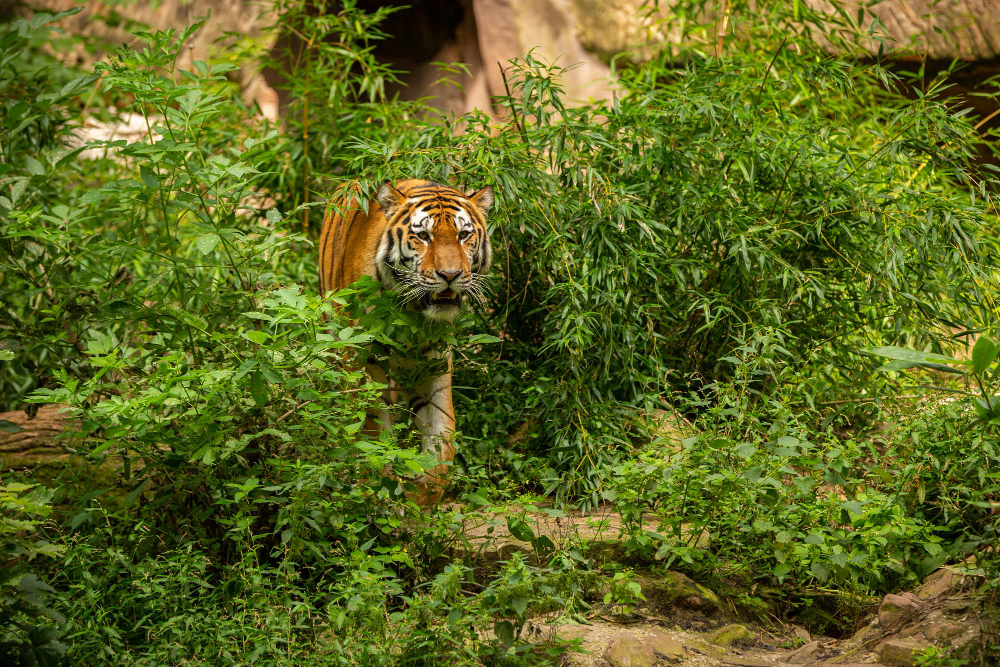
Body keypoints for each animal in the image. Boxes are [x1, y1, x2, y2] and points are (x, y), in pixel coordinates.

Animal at [318, 179, 495, 505]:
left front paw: (421, 497)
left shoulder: (433, 365)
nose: (450, 275)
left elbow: (442, 438)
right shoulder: (365, 360)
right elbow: (371, 429)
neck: (413, 311)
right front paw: (380, 491)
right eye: (423, 236)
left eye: (463, 235)